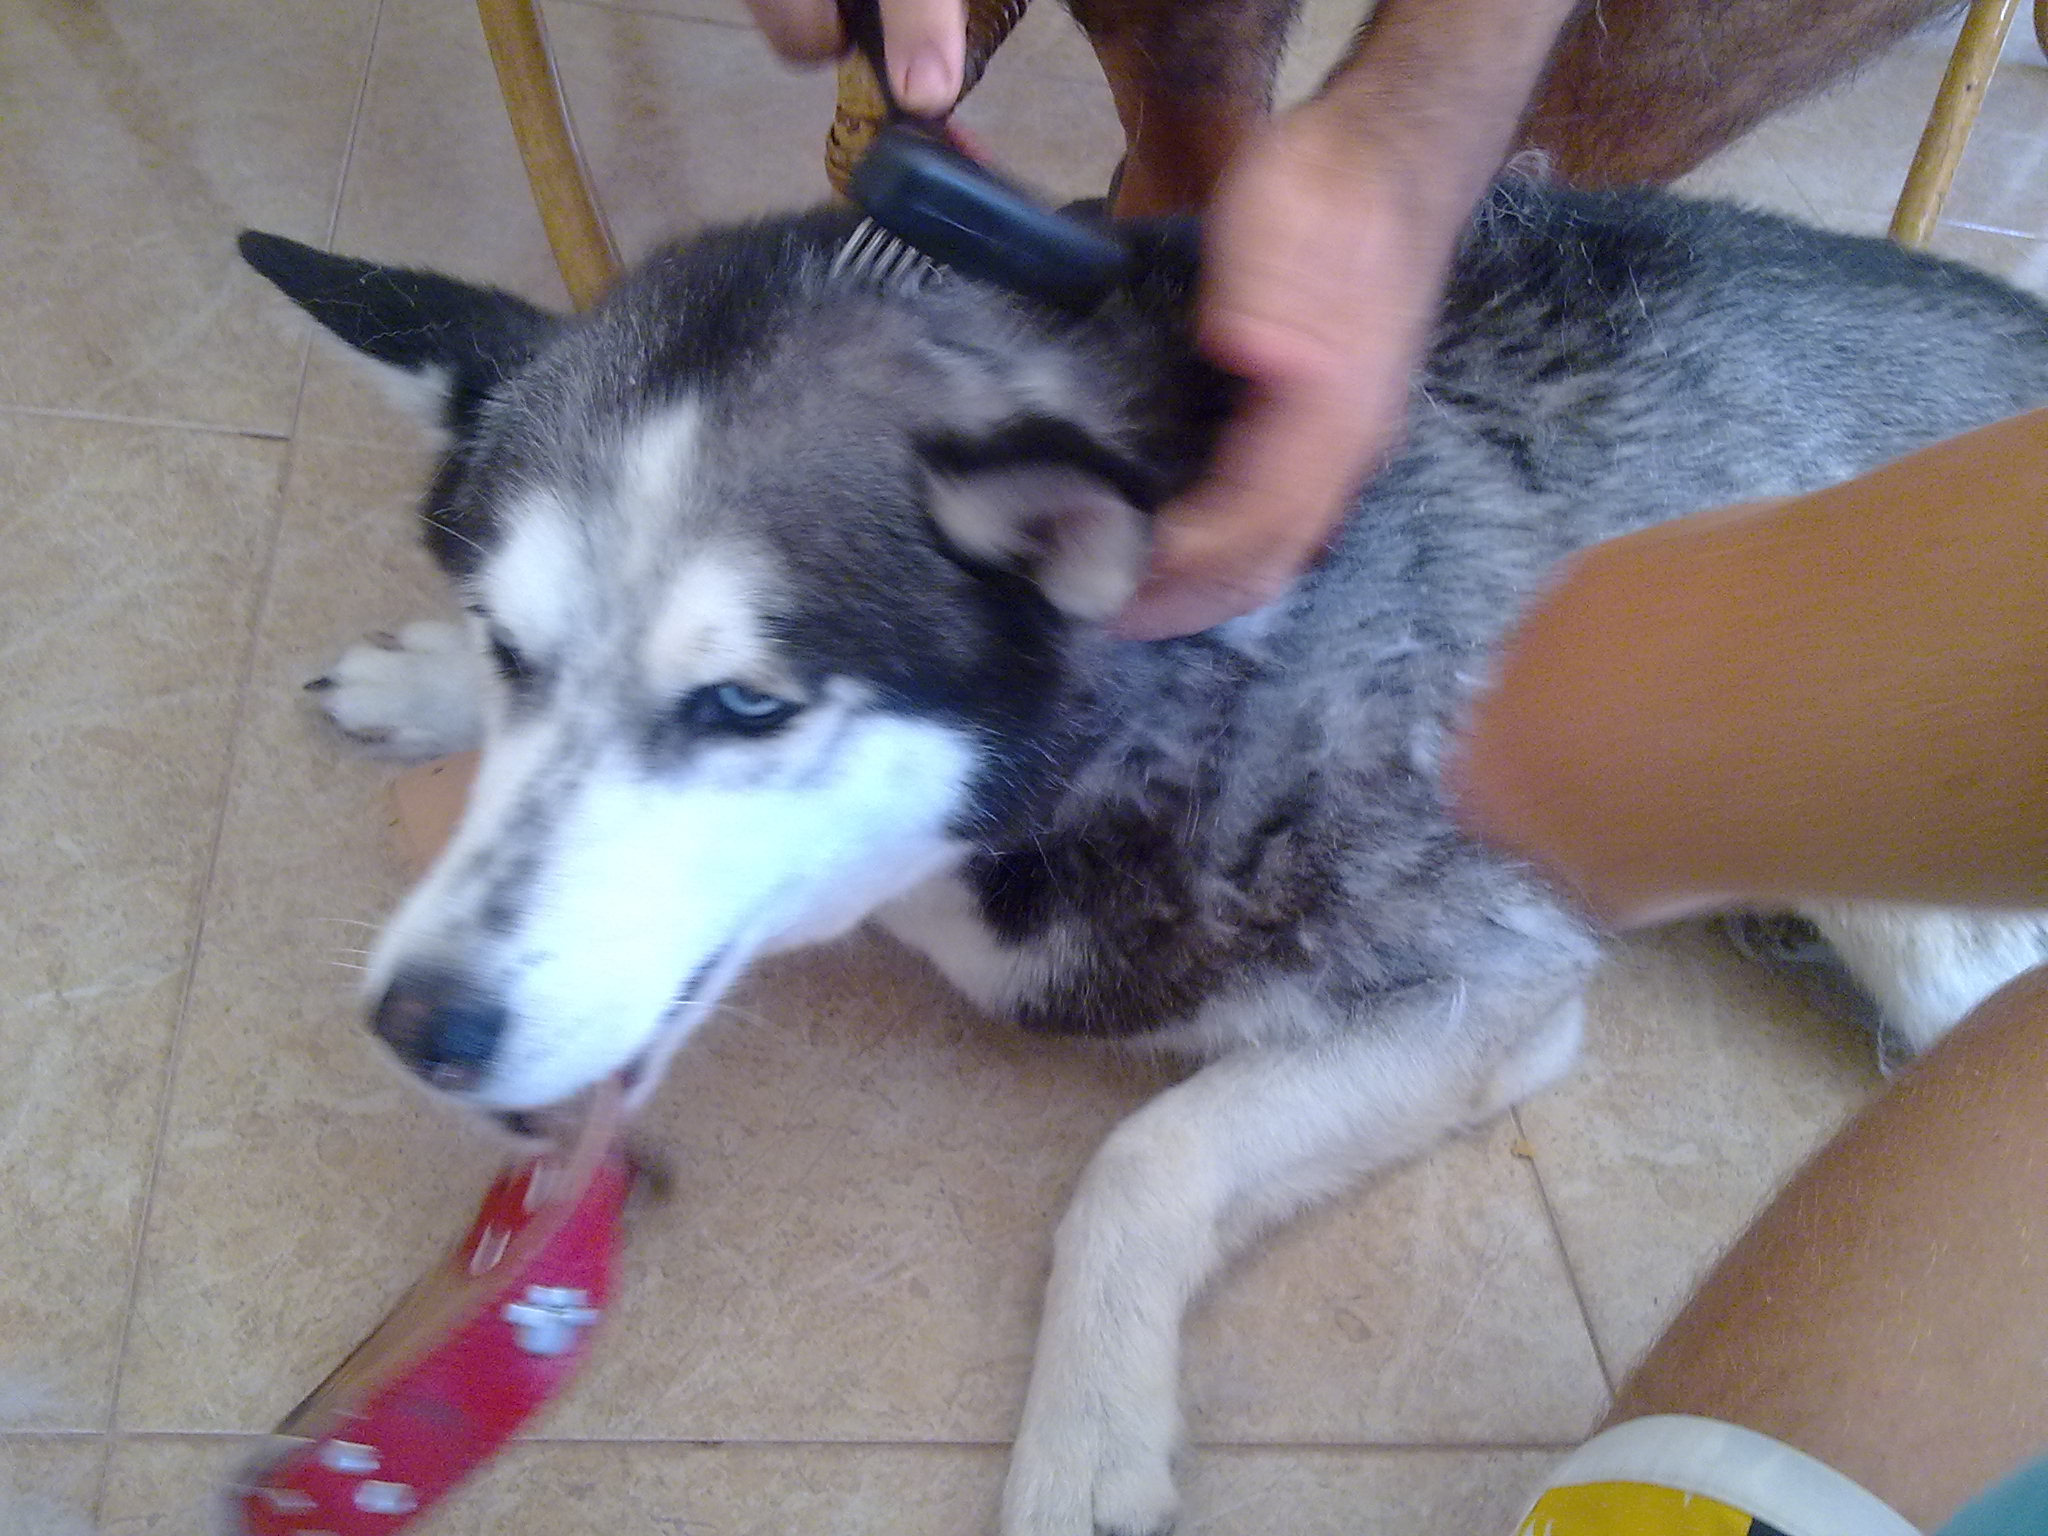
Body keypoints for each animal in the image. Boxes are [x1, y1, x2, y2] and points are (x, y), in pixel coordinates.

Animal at [243, 186, 2048, 1536]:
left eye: (745, 705)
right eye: (513, 646)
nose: (420, 1026)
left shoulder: (1494, 990)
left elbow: (1143, 1161)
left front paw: (1086, 1429)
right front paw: (423, 678)